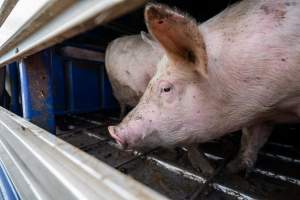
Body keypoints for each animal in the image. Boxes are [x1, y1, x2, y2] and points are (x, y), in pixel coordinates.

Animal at [109, 0, 300, 173]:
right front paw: (226, 169)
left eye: (166, 88)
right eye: (151, 81)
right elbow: (250, 138)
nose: (114, 131)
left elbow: (253, 140)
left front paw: (231, 169)